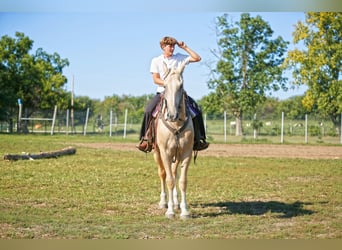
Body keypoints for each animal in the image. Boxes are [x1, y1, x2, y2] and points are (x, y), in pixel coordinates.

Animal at [154, 62, 194, 219]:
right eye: (165, 86)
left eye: (181, 85)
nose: (172, 115)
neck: (176, 124)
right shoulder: (165, 152)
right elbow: (169, 180)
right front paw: (170, 211)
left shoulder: (187, 153)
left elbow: (182, 181)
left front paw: (184, 210)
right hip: (157, 153)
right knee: (163, 173)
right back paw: (163, 202)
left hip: (177, 154)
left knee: (173, 171)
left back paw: (177, 203)